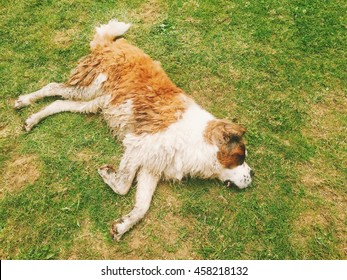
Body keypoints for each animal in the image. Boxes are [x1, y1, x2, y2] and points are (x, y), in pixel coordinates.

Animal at [14, 19, 254, 240]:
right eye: (240, 156)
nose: (252, 174)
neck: (197, 141)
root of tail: (112, 44)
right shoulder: (138, 145)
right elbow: (123, 184)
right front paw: (107, 173)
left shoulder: (152, 166)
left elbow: (142, 205)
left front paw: (123, 225)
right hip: (88, 87)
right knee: (52, 87)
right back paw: (24, 101)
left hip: (94, 102)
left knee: (58, 103)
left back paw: (32, 119)